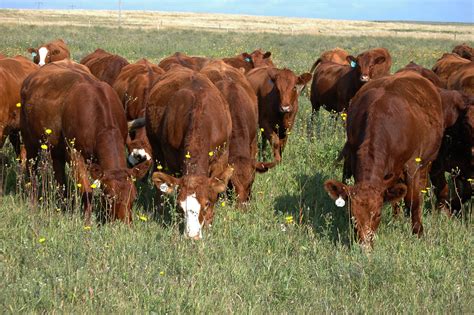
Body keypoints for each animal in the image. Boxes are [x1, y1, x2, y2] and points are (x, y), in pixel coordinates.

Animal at [19, 60, 148, 226]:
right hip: (29, 140)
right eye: (109, 196)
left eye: (134, 196)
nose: (123, 225)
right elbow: (87, 190)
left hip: (56, 147)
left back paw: (63, 205)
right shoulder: (74, 153)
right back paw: (33, 202)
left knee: (59, 175)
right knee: (32, 169)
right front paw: (87, 221)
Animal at [324, 72, 464, 249]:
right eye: (352, 216)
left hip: (427, 160)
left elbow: (413, 200)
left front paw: (418, 232)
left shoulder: (412, 165)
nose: (365, 246)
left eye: (377, 215)